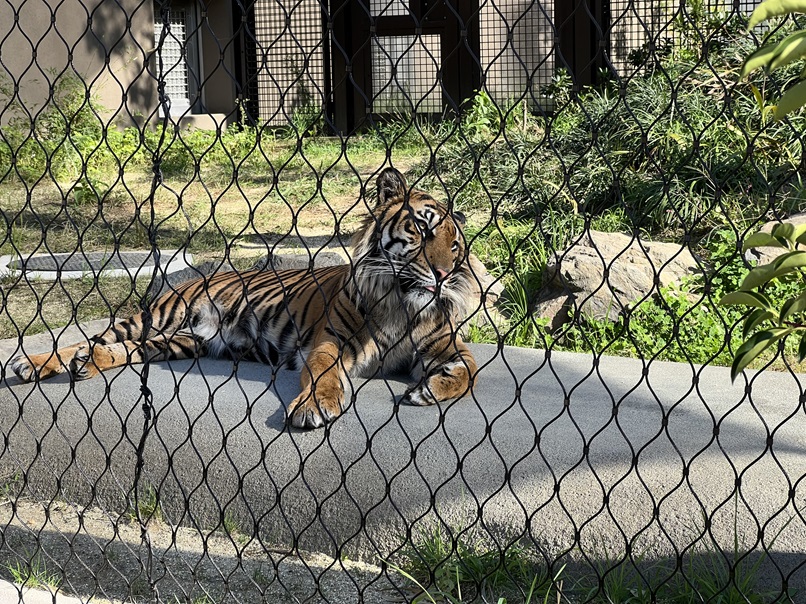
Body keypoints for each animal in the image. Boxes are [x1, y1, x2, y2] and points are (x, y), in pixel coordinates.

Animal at [10, 168, 478, 429]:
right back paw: (32, 363)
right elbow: (322, 375)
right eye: (421, 229)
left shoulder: (449, 346)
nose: (442, 275)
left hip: (179, 342)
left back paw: (86, 364)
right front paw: (314, 406)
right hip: (154, 318)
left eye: (455, 246)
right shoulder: (332, 342)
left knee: (117, 350)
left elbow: (467, 373)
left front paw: (428, 390)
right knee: (85, 339)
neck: (402, 304)